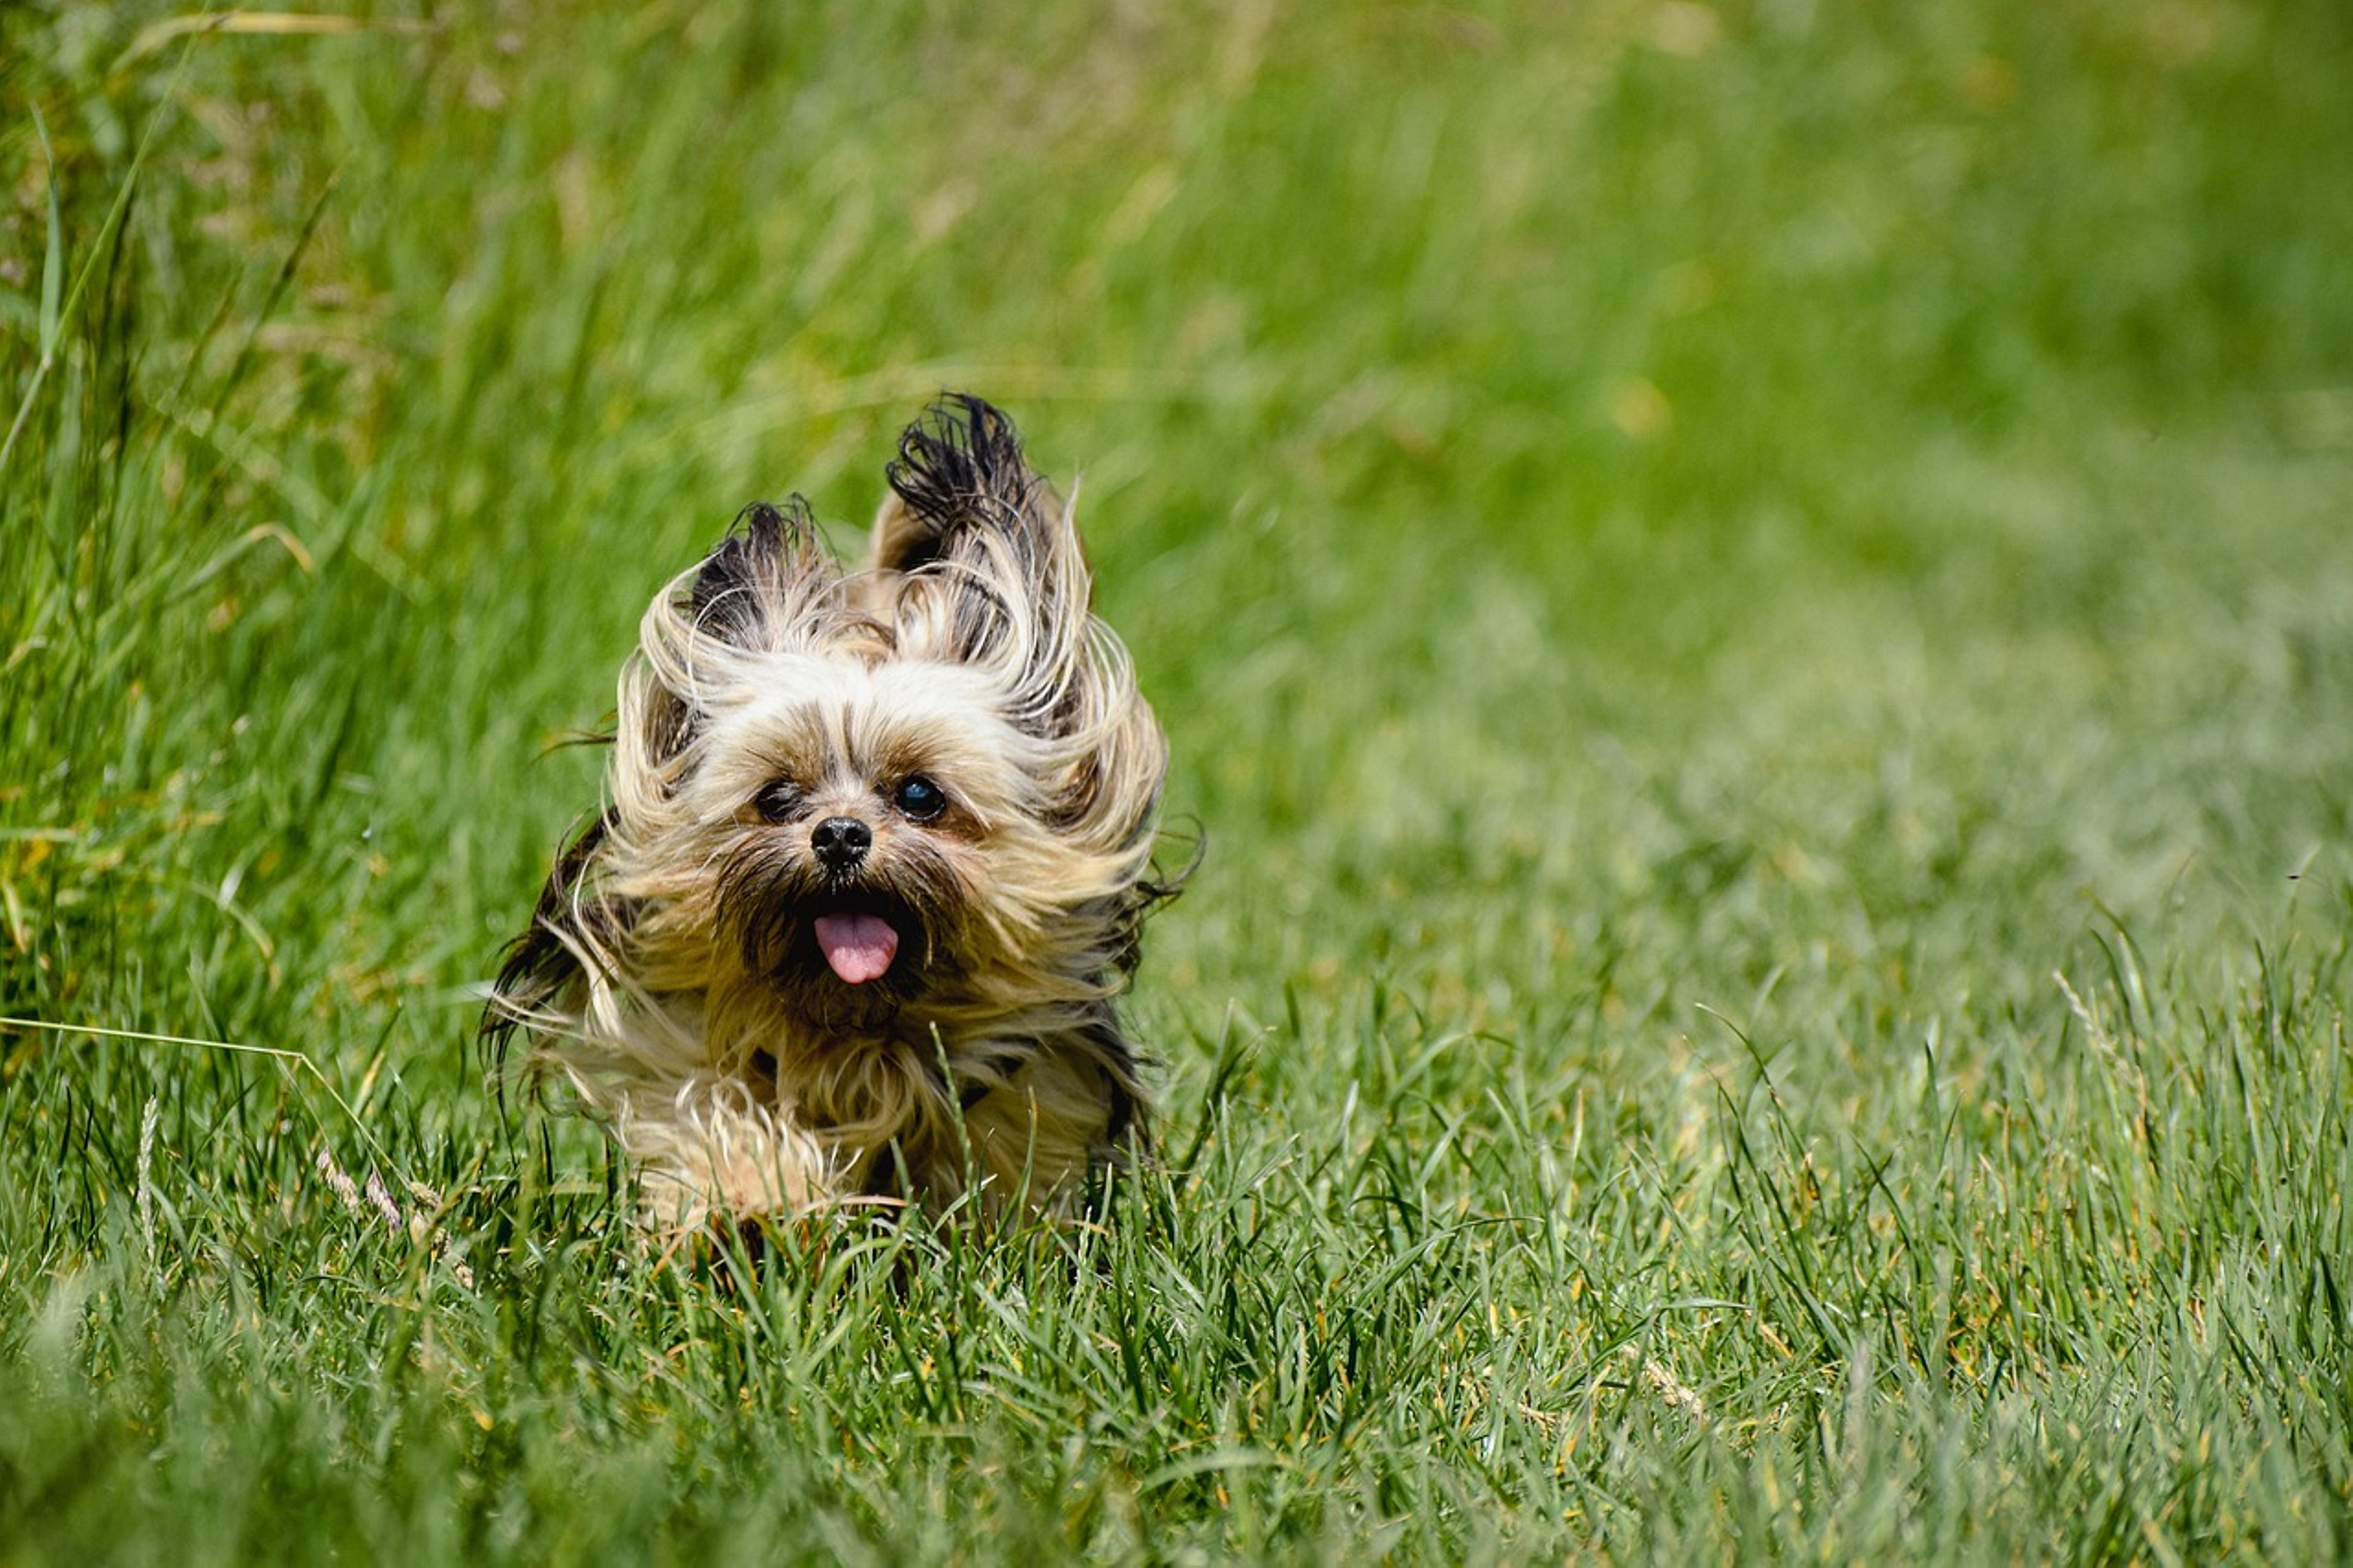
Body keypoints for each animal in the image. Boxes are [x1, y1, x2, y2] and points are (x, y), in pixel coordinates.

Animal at [480, 393, 1176, 1233]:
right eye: (777, 797)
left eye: (920, 795)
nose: (840, 835)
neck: (856, 1029)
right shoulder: (687, 1036)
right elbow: (717, 1113)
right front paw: (752, 1203)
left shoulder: (1030, 1072)